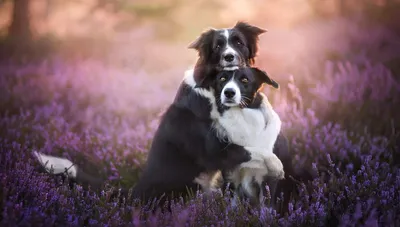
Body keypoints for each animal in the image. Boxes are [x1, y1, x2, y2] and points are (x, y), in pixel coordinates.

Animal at [32, 21, 288, 211]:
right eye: (217, 46)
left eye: (238, 43)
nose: (229, 56)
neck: (211, 92)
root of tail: (133, 193)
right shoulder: (213, 149)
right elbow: (252, 150)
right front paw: (277, 166)